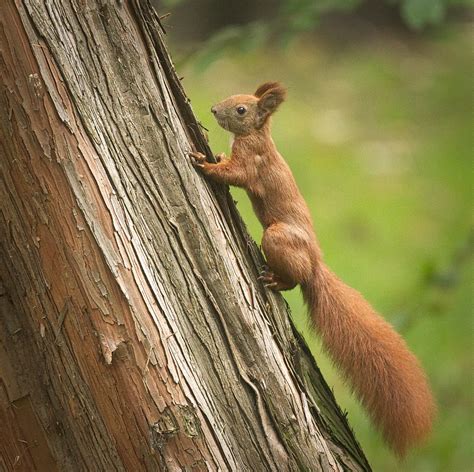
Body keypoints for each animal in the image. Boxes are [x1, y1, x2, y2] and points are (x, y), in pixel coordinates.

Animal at [189, 82, 434, 458]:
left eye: (242, 110)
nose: (215, 109)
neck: (259, 136)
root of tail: (316, 264)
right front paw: (213, 153)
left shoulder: (251, 162)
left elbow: (234, 174)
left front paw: (203, 162)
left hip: (277, 238)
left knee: (295, 279)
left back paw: (276, 280)